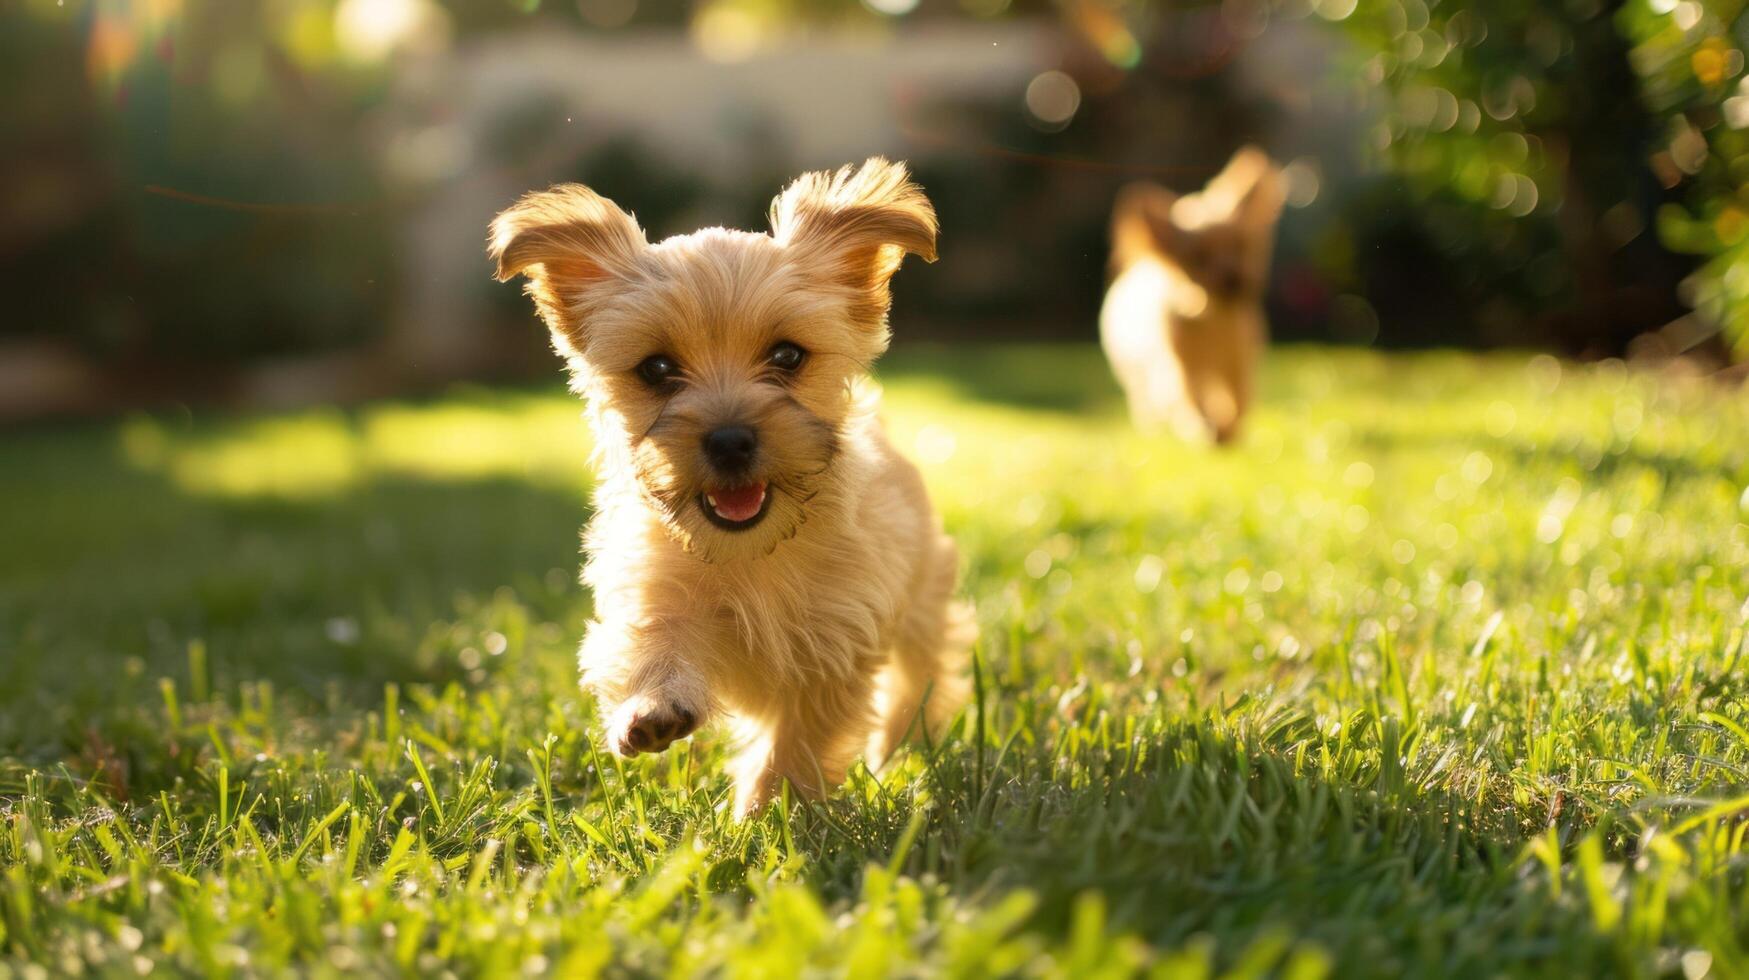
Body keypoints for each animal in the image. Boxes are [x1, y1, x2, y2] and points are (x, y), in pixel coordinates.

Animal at [489, 161, 972, 815]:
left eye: (788, 356)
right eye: (656, 369)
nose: (729, 440)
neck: (751, 555)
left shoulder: (836, 651)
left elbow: (795, 743)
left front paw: (765, 816)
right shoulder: (655, 589)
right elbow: (654, 642)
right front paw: (653, 708)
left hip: (922, 600)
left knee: (923, 674)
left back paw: (906, 745)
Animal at [1105, 147, 1287, 446]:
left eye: (1240, 245)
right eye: (1199, 258)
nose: (1233, 279)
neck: (1212, 318)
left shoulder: (1238, 363)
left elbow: (1238, 400)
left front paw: (1228, 429)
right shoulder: (1182, 370)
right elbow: (1192, 400)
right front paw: (1209, 430)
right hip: (1137, 373)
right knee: (1146, 402)